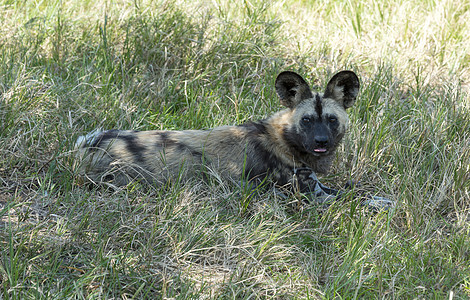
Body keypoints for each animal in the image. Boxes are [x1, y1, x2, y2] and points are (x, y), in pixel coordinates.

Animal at [76, 70, 392, 209]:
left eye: (331, 119)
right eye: (306, 120)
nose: (321, 142)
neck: (283, 139)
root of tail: (87, 145)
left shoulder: (318, 185)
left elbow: (353, 188)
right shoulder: (312, 194)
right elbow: (356, 198)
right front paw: (383, 203)